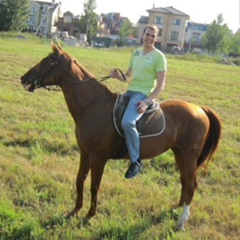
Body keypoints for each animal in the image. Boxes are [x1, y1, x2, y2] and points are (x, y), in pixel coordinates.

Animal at [20, 42, 221, 231]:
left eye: (47, 62)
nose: (24, 78)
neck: (93, 105)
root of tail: (200, 109)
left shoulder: (98, 157)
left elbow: (94, 186)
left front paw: (89, 215)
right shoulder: (85, 153)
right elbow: (79, 180)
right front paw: (75, 210)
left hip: (189, 155)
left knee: (191, 184)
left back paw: (181, 221)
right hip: (179, 152)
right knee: (185, 180)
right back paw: (177, 208)